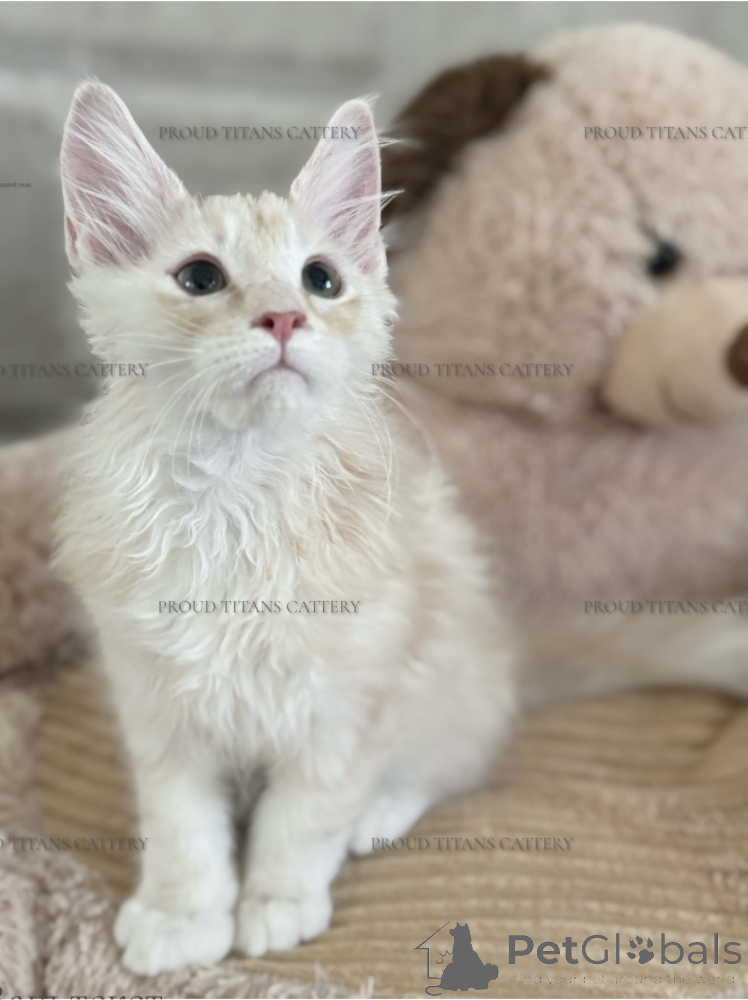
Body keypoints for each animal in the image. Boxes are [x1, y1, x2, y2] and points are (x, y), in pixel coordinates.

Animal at [54, 80, 516, 976]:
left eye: (320, 280)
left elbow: (302, 820)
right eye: (201, 277)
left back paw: (381, 812)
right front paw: (181, 915)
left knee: (449, 761)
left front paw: (276, 902)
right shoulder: (157, 706)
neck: (236, 493)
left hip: (451, 678)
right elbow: (182, 829)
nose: (283, 319)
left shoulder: (346, 704)